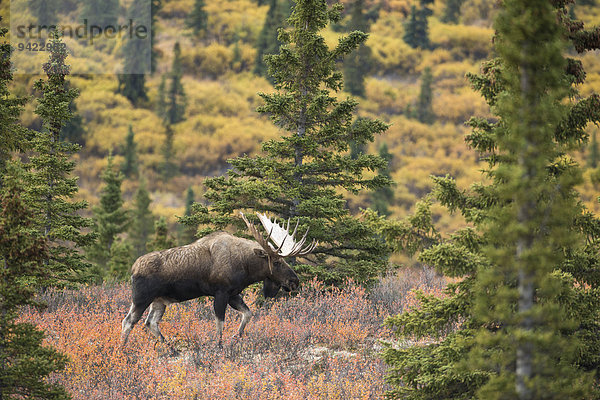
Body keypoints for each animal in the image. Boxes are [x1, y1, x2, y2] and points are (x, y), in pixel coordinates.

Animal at [120, 212, 316, 346]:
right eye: (276, 262)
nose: (294, 281)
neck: (246, 266)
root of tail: (133, 269)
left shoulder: (234, 294)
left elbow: (248, 314)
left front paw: (236, 337)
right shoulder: (221, 292)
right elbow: (220, 323)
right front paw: (219, 346)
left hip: (159, 300)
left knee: (151, 322)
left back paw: (170, 348)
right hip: (141, 298)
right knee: (128, 322)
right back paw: (123, 350)